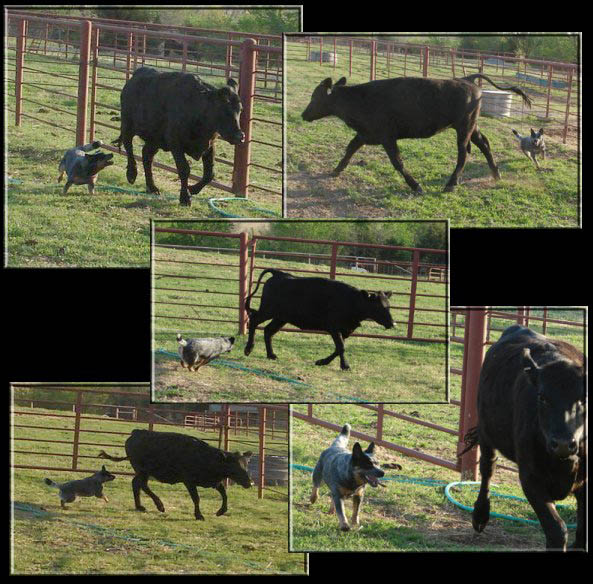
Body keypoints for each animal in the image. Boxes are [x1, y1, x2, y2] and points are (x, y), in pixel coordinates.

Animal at [99, 428, 252, 520]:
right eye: (236, 467)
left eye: (246, 465)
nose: (250, 482)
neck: (207, 457)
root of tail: (137, 433)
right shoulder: (189, 481)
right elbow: (196, 498)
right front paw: (199, 515)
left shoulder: (214, 482)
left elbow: (224, 494)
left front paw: (221, 511)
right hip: (143, 470)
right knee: (142, 485)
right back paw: (159, 505)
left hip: (142, 472)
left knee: (136, 484)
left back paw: (140, 506)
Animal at [112, 66, 244, 206]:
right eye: (223, 109)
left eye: (240, 110)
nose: (240, 136)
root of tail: (138, 73)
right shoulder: (176, 144)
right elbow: (184, 169)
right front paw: (185, 197)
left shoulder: (209, 145)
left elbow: (209, 174)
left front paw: (192, 189)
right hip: (127, 125)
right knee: (129, 146)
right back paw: (131, 174)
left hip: (155, 139)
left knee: (146, 155)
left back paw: (152, 187)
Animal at [242, 270, 394, 370]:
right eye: (379, 307)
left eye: (388, 305)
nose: (393, 323)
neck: (352, 301)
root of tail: (279, 274)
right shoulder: (334, 328)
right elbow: (341, 347)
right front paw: (345, 365)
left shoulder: (345, 330)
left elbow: (338, 348)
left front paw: (322, 361)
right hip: (268, 310)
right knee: (254, 320)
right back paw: (248, 349)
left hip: (281, 317)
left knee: (268, 331)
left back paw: (271, 354)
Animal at [300, 73, 532, 194]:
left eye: (315, 96)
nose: (304, 114)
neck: (361, 99)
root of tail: (467, 79)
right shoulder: (366, 134)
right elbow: (350, 149)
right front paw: (336, 170)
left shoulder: (387, 138)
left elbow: (397, 162)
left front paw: (416, 186)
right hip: (471, 127)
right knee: (484, 144)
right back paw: (496, 174)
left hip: (464, 128)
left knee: (463, 154)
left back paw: (451, 184)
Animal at [458, 326, 584, 548]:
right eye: (542, 397)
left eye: (584, 397)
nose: (562, 444)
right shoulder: (531, 478)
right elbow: (557, 529)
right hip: (487, 432)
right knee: (487, 469)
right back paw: (480, 515)